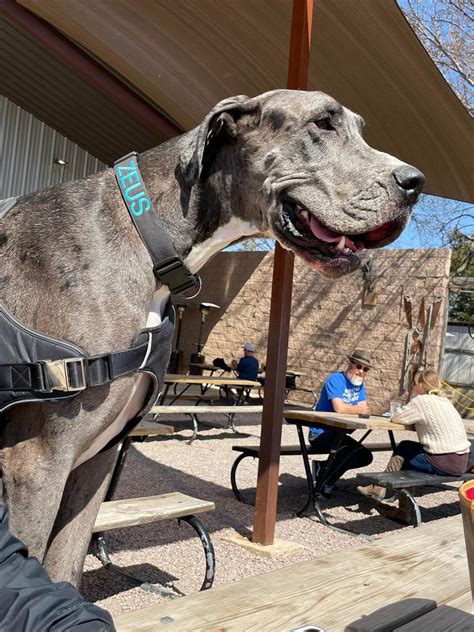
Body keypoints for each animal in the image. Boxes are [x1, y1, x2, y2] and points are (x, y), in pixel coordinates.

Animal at [0, 89, 422, 584]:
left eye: (359, 128)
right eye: (323, 122)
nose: (415, 182)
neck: (148, 239)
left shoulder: (96, 460)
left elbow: (64, 567)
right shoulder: (38, 463)